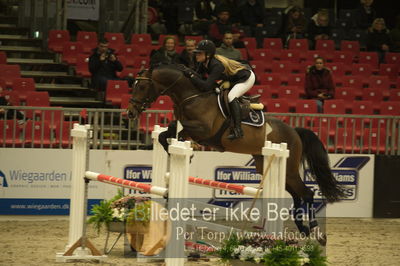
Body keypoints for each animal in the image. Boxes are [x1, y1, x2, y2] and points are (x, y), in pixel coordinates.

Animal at [127, 64, 344, 243]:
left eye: (142, 86)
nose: (130, 113)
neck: (191, 96)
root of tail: (294, 131)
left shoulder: (203, 130)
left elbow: (179, 131)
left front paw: (187, 151)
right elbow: (167, 134)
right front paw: (179, 150)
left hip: (288, 168)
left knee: (307, 194)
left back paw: (316, 233)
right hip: (267, 166)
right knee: (297, 195)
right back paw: (302, 229)